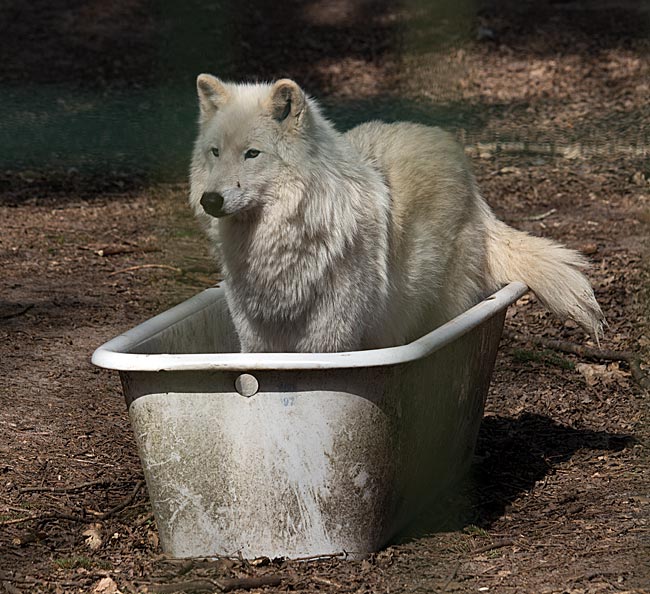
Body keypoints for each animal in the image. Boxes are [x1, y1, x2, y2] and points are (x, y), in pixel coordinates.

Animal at [187, 75, 604, 352]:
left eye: (252, 154)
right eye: (215, 152)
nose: (211, 200)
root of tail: (467, 173)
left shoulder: (330, 337)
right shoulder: (255, 337)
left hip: (439, 305)